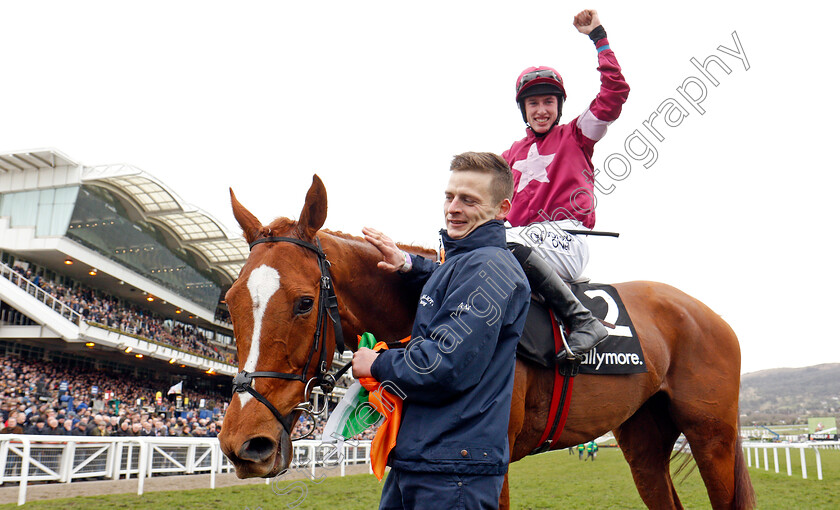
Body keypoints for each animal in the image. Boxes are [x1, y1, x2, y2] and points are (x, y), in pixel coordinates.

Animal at [218, 176, 756, 510]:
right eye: (229, 302)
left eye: (305, 302)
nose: (245, 444)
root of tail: (711, 316)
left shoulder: (486, 465)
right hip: (644, 436)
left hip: (713, 436)